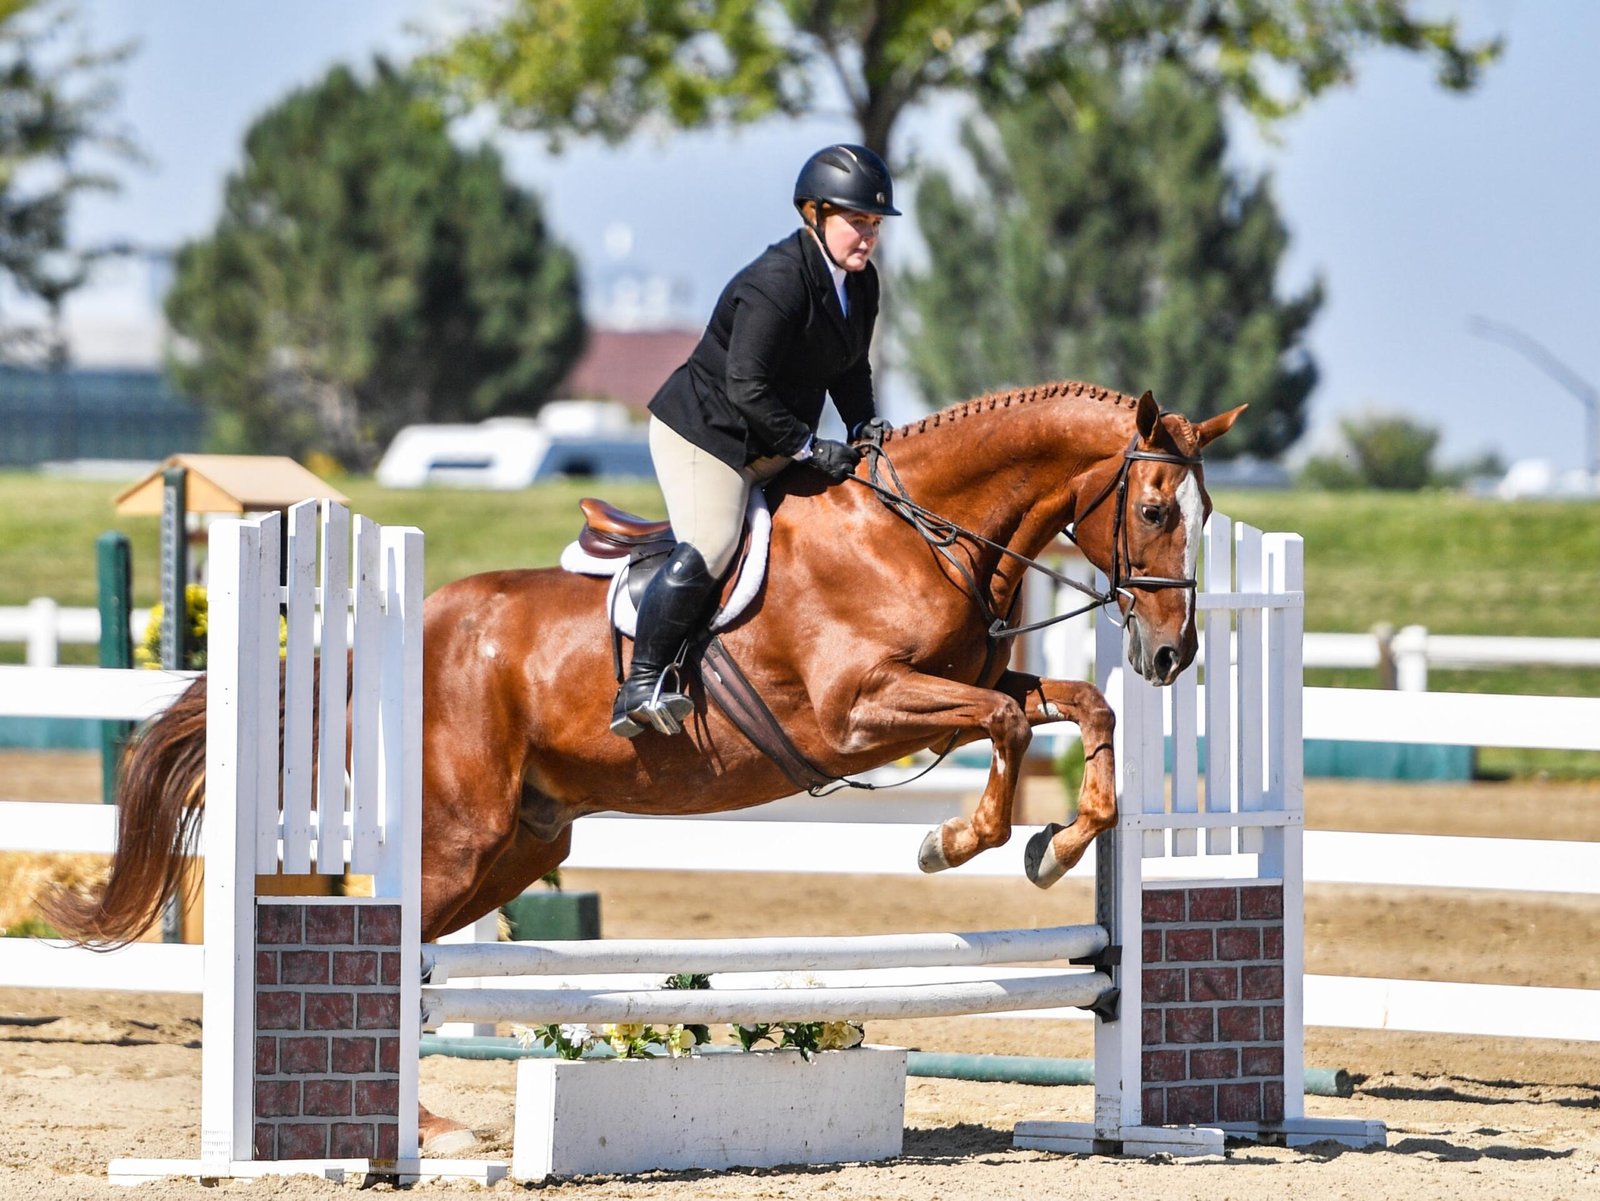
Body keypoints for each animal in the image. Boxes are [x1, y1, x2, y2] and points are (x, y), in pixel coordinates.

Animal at [43, 380, 1241, 1151]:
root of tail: (367, 641)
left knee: (422, 961)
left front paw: (1061, 838)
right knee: (389, 941)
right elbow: (1002, 724)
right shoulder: (860, 711)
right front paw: (961, 840)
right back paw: (407, 1132)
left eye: (1205, 512)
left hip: (520, 842)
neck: (916, 531)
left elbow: (1072, 707)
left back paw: (417, 1124)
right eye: (1152, 507)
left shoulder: (950, 694)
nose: (1172, 653)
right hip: (458, 836)